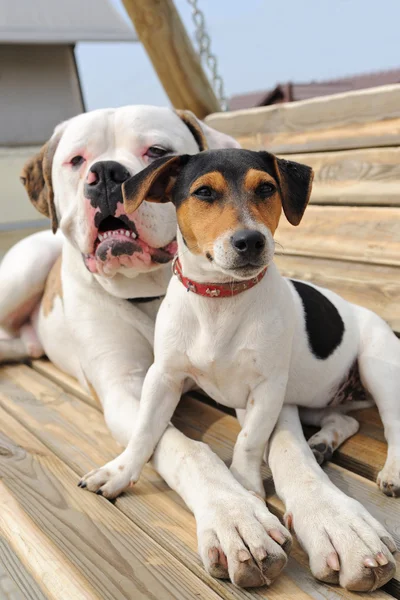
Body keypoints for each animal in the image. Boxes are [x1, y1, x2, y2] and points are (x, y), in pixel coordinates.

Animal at [0, 108, 396, 592]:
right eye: (203, 192)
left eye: (267, 189)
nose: (107, 175)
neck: (217, 301)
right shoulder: (146, 381)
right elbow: (156, 438)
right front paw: (124, 474)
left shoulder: (266, 392)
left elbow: (257, 443)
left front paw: (263, 496)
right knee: (344, 419)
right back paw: (324, 441)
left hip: (378, 364)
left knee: (389, 419)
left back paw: (381, 468)